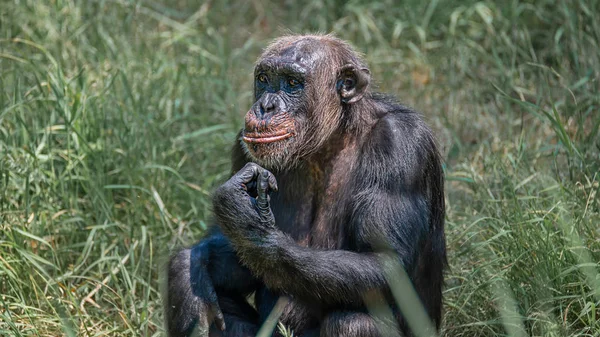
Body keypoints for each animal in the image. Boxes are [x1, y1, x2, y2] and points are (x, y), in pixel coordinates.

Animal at [165, 34, 446, 336]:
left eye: (292, 83)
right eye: (263, 79)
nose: (266, 106)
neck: (331, 140)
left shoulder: (400, 143)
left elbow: (387, 262)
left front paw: (249, 224)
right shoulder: (242, 147)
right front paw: (198, 262)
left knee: (352, 322)